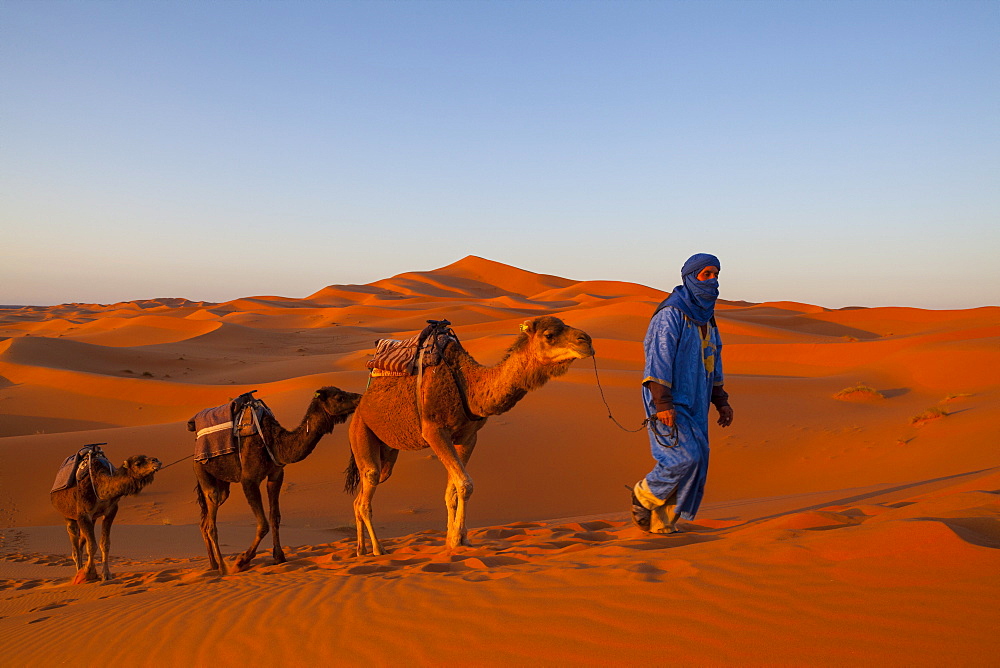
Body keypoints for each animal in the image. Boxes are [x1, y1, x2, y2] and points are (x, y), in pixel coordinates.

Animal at [49, 452, 160, 580]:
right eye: (137, 463)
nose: (156, 460)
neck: (99, 486)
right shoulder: (83, 514)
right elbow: (92, 546)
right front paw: (89, 572)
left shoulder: (111, 511)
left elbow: (104, 544)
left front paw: (106, 574)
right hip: (68, 515)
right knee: (75, 546)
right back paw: (78, 573)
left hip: (91, 519)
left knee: (81, 543)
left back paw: (81, 570)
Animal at [193, 386, 362, 576]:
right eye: (339, 397)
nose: (360, 398)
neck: (274, 442)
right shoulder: (249, 480)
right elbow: (263, 524)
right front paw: (242, 561)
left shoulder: (276, 475)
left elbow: (275, 517)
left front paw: (279, 557)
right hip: (202, 470)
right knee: (211, 522)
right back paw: (223, 567)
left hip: (222, 482)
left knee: (205, 521)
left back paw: (213, 564)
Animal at [346, 316, 592, 556]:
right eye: (549, 335)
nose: (587, 341)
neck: (469, 386)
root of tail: (360, 407)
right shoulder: (434, 430)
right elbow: (465, 485)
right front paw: (457, 539)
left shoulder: (468, 437)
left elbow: (452, 491)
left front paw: (454, 539)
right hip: (361, 432)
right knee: (367, 487)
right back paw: (378, 549)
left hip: (387, 452)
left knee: (362, 495)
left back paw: (361, 549)